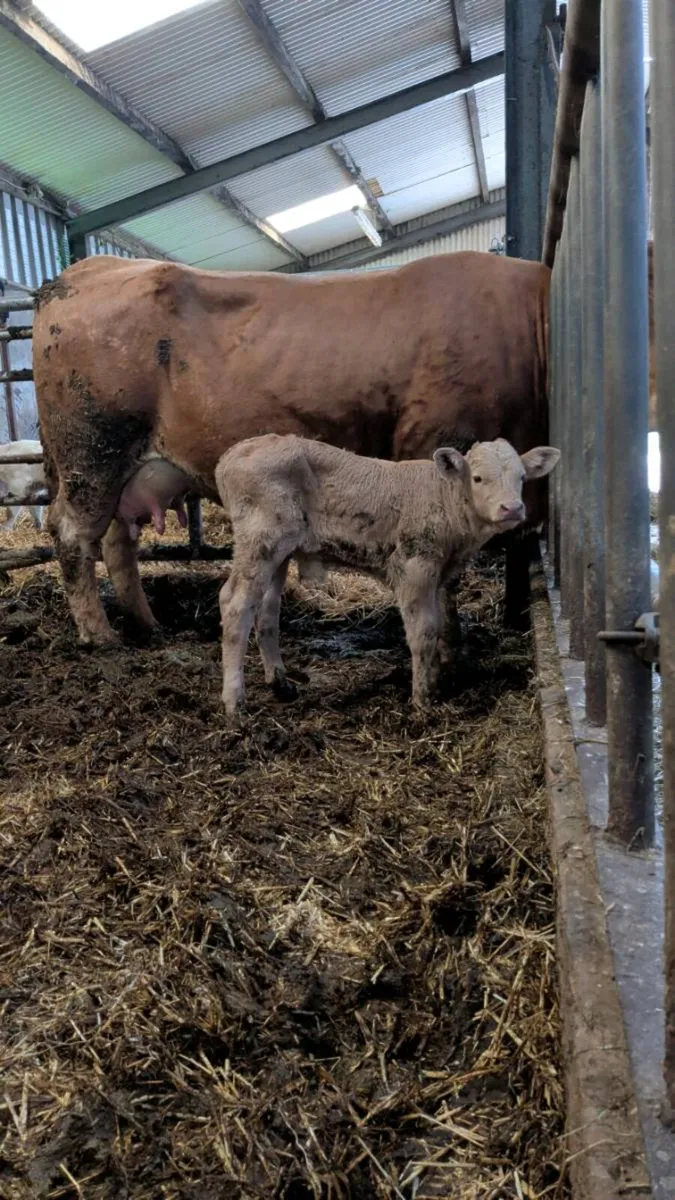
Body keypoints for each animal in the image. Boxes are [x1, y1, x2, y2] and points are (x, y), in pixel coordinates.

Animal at [32, 251, 551, 649]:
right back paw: (100, 635)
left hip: (129, 471)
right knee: (72, 535)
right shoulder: (438, 448)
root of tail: (87, 268)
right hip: (92, 457)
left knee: (117, 541)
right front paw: (448, 639)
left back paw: (148, 626)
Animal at [216, 434, 560, 714]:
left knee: (267, 610)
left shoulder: (438, 574)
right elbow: (423, 632)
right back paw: (234, 702)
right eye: (477, 478)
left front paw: (436, 681)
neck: (444, 499)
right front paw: (422, 701)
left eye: (521, 477)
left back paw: (280, 683)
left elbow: (438, 626)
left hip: (280, 551)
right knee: (235, 605)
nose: (512, 508)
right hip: (261, 540)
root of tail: (232, 455)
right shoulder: (414, 568)